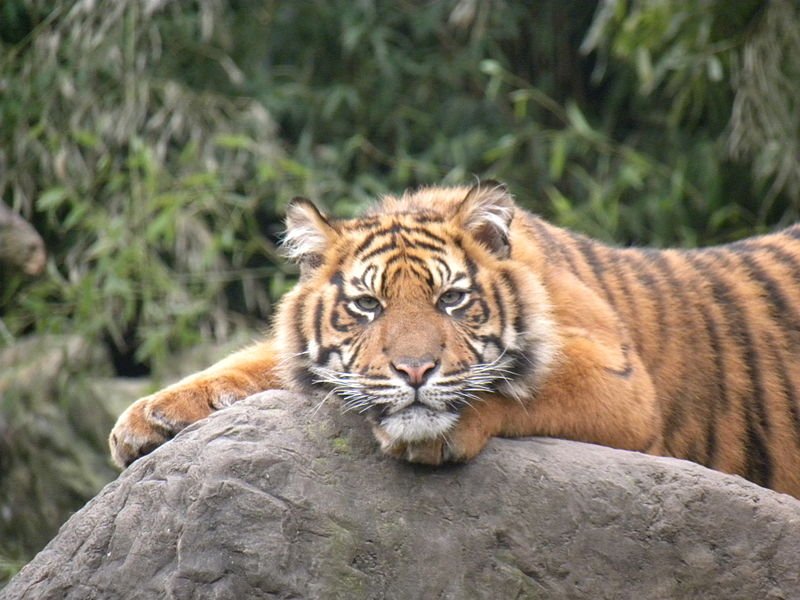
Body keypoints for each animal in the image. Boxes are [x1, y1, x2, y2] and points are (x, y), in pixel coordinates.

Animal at [109, 182, 800, 496]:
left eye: (451, 300)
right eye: (367, 305)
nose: (415, 371)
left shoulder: (624, 385)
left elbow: (519, 386)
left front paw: (436, 427)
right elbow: (256, 361)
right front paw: (149, 416)